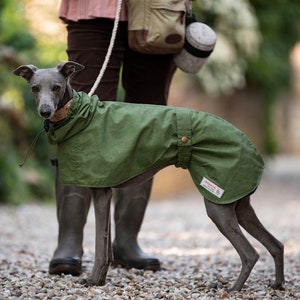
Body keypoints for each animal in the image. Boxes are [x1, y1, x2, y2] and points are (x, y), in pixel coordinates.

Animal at [14, 61, 284, 290]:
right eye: (35, 88)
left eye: (57, 87)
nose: (45, 111)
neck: (78, 114)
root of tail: (252, 148)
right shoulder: (106, 191)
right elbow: (106, 246)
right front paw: (100, 279)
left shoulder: (100, 193)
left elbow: (100, 246)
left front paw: (92, 280)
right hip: (238, 204)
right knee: (276, 244)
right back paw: (278, 284)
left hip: (218, 203)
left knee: (250, 253)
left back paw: (234, 289)